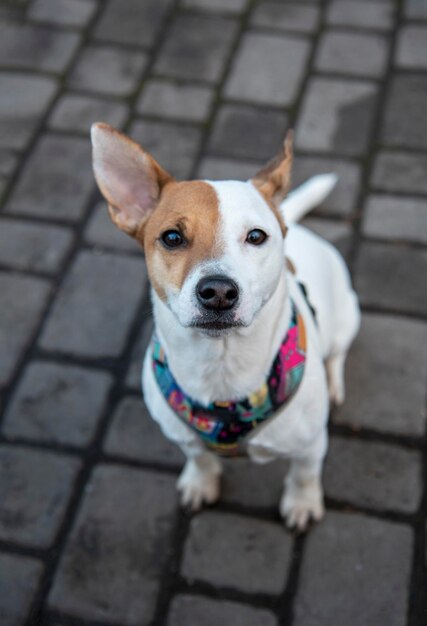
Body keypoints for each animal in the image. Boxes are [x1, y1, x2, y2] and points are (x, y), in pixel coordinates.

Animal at [90, 123, 362, 532]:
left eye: (256, 236)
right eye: (172, 237)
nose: (218, 291)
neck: (221, 365)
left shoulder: (311, 446)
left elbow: (304, 474)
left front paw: (302, 503)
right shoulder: (182, 437)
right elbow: (199, 457)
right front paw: (200, 482)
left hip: (348, 315)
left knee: (337, 355)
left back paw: (333, 382)